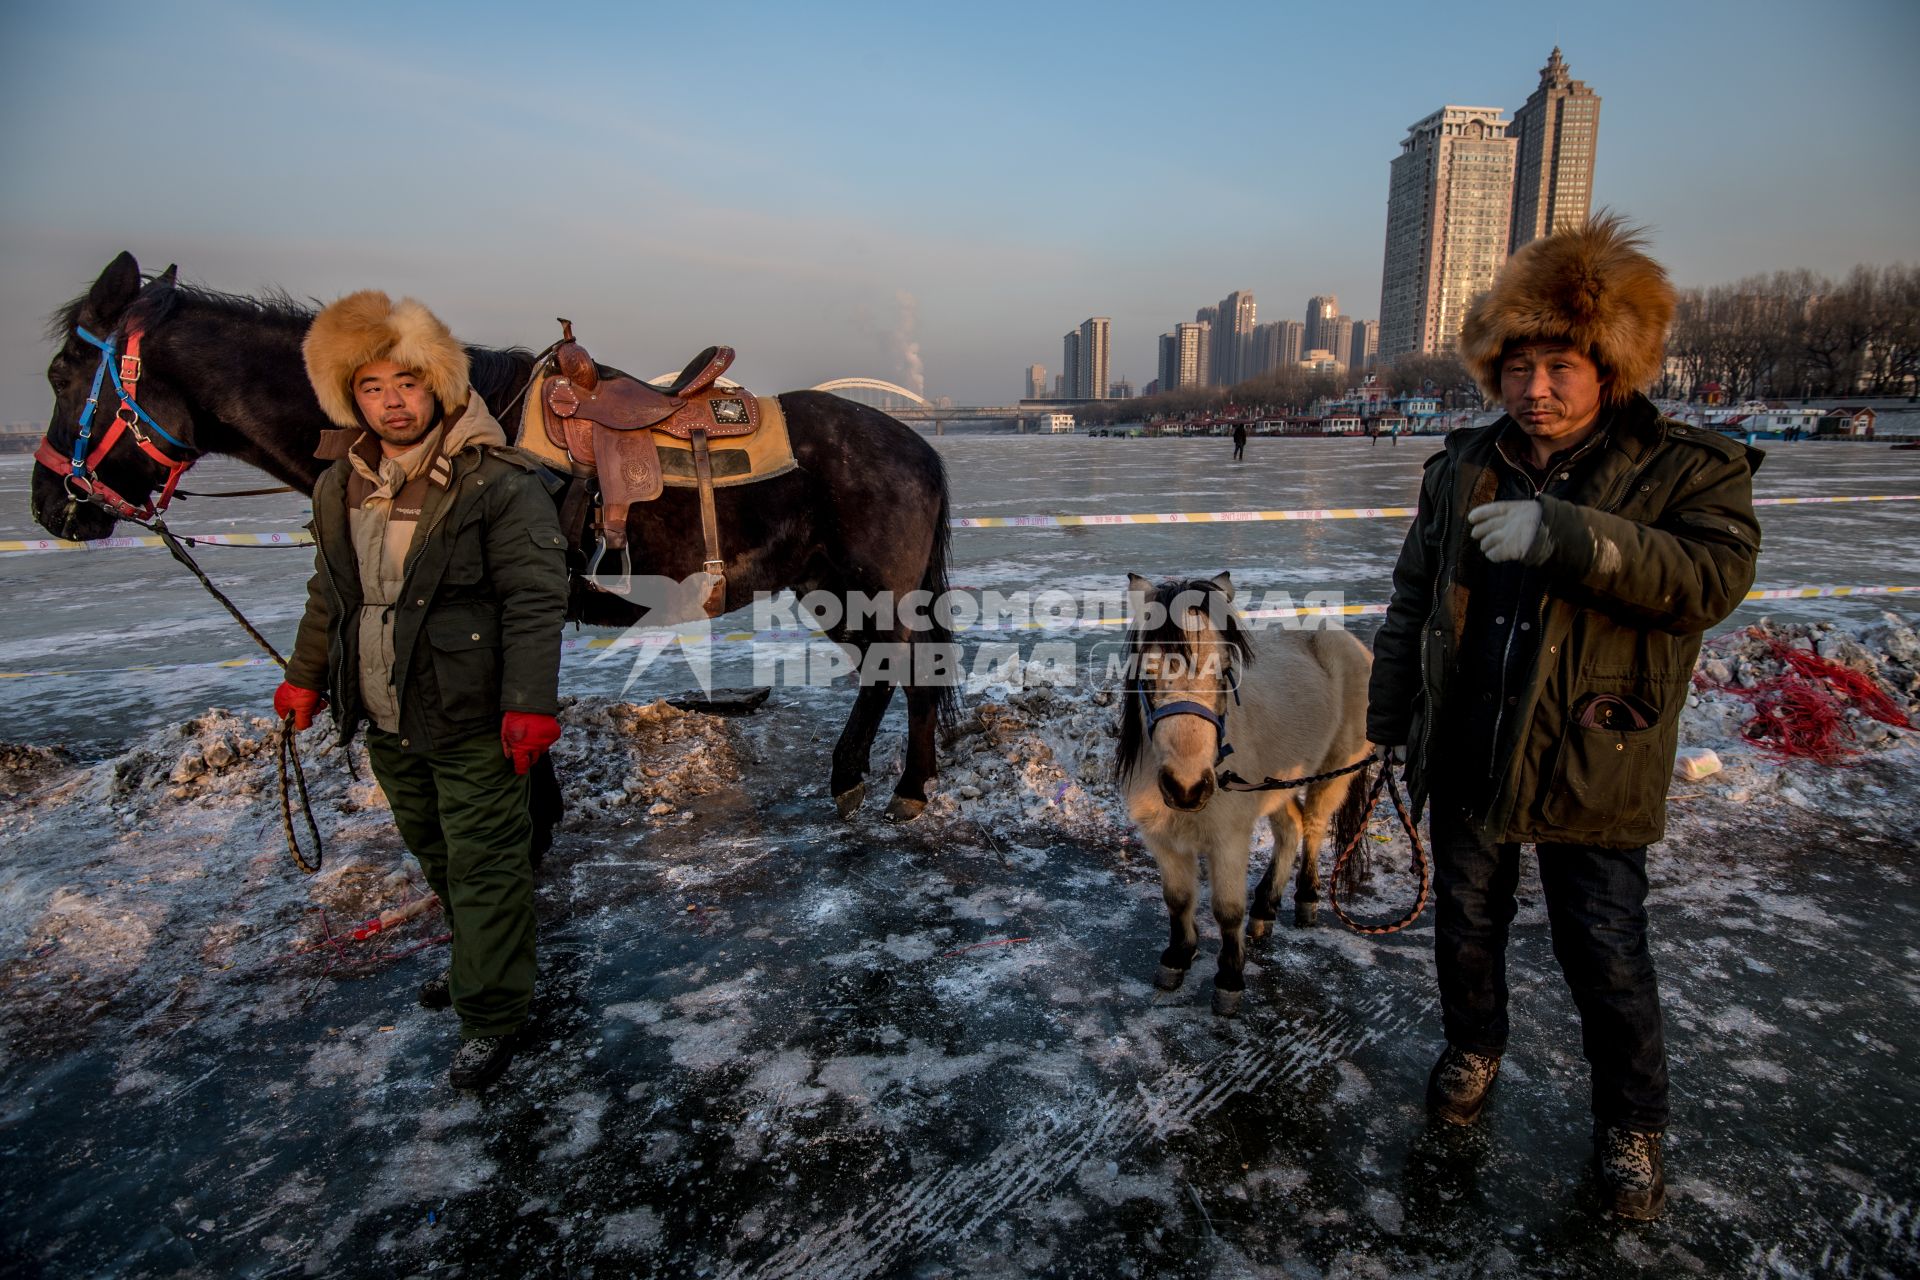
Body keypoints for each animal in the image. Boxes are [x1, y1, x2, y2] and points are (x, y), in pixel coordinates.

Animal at [30, 253, 960, 821]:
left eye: (62, 372)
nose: (49, 505)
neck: (452, 438)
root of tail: (916, 441)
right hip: (828, 586)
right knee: (888, 673)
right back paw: (856, 776)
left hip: (874, 588)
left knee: (910, 672)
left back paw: (904, 785)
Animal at [1121, 575, 1374, 1013]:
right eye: (1147, 672)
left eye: (1225, 670)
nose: (1187, 786)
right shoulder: (1162, 839)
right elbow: (1177, 898)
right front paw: (1178, 956)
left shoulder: (1229, 839)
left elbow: (1226, 911)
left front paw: (1229, 979)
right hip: (1276, 786)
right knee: (1290, 829)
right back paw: (1265, 909)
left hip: (1333, 772)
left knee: (1313, 826)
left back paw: (1305, 899)